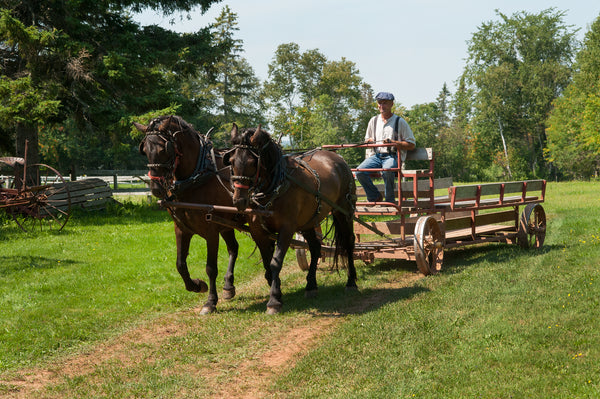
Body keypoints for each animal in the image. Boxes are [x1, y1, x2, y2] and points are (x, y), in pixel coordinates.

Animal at [137, 115, 245, 316]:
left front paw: (210, 302)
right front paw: (197, 285)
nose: (156, 188)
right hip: (227, 224)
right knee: (233, 248)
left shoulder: (211, 231)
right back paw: (228, 286)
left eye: (164, 149)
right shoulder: (181, 228)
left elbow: (211, 268)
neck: (195, 178)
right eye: (144, 149)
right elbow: (180, 264)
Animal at [224, 125, 356, 316]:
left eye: (252, 162)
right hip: (308, 221)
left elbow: (275, 263)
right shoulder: (258, 232)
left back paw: (351, 281)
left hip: (344, 211)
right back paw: (311, 285)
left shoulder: (287, 229)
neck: (274, 188)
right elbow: (267, 263)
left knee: (348, 243)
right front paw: (277, 293)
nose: (239, 200)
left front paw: (273, 301)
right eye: (232, 161)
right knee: (315, 248)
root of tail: (338, 158)